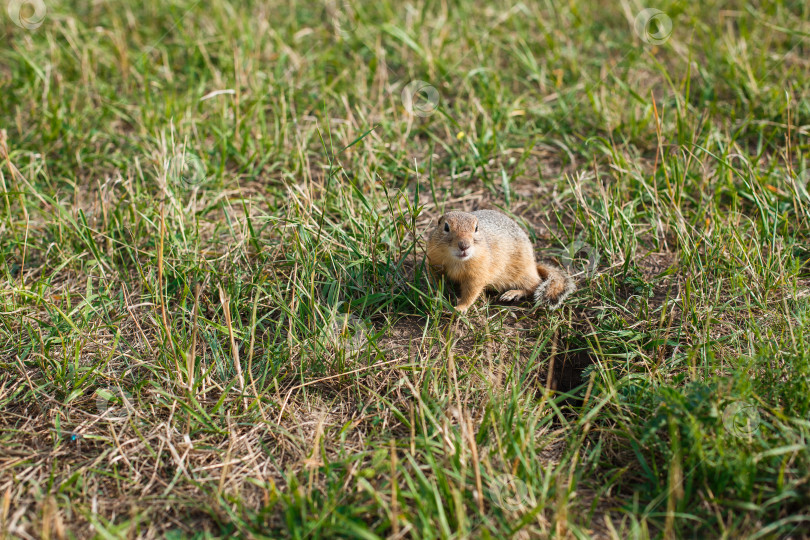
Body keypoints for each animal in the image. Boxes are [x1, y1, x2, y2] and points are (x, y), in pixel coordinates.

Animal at [422, 210, 576, 312]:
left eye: (476, 228)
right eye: (446, 227)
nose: (464, 245)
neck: (457, 261)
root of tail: (534, 264)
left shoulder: (478, 273)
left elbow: (471, 292)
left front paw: (460, 307)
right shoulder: (434, 262)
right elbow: (435, 280)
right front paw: (435, 295)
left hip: (522, 272)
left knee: (534, 284)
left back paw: (512, 293)